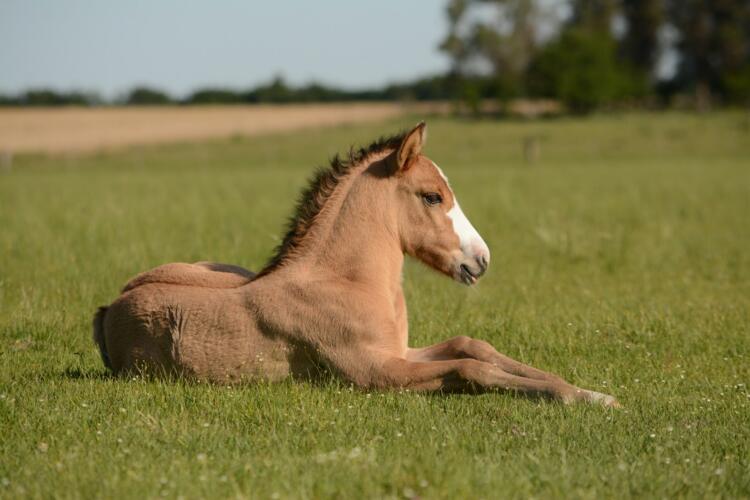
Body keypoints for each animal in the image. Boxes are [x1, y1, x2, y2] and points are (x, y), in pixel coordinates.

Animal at [93, 122, 619, 406]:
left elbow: (475, 347)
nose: (481, 259)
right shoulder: (375, 372)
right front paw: (580, 397)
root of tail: (109, 307)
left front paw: (590, 392)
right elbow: (472, 369)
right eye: (432, 196)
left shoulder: (400, 352)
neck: (345, 282)